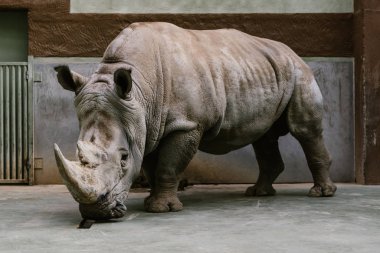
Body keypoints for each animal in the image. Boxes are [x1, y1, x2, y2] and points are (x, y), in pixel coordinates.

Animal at [53, 21, 336, 219]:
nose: (95, 213)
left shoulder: (186, 124)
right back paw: (259, 193)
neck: (140, 92)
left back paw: (321, 194)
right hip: (264, 69)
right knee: (263, 136)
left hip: (299, 72)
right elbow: (150, 166)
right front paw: (151, 202)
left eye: (123, 159)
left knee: (305, 130)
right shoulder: (147, 125)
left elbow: (167, 166)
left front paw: (162, 209)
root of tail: (291, 51)